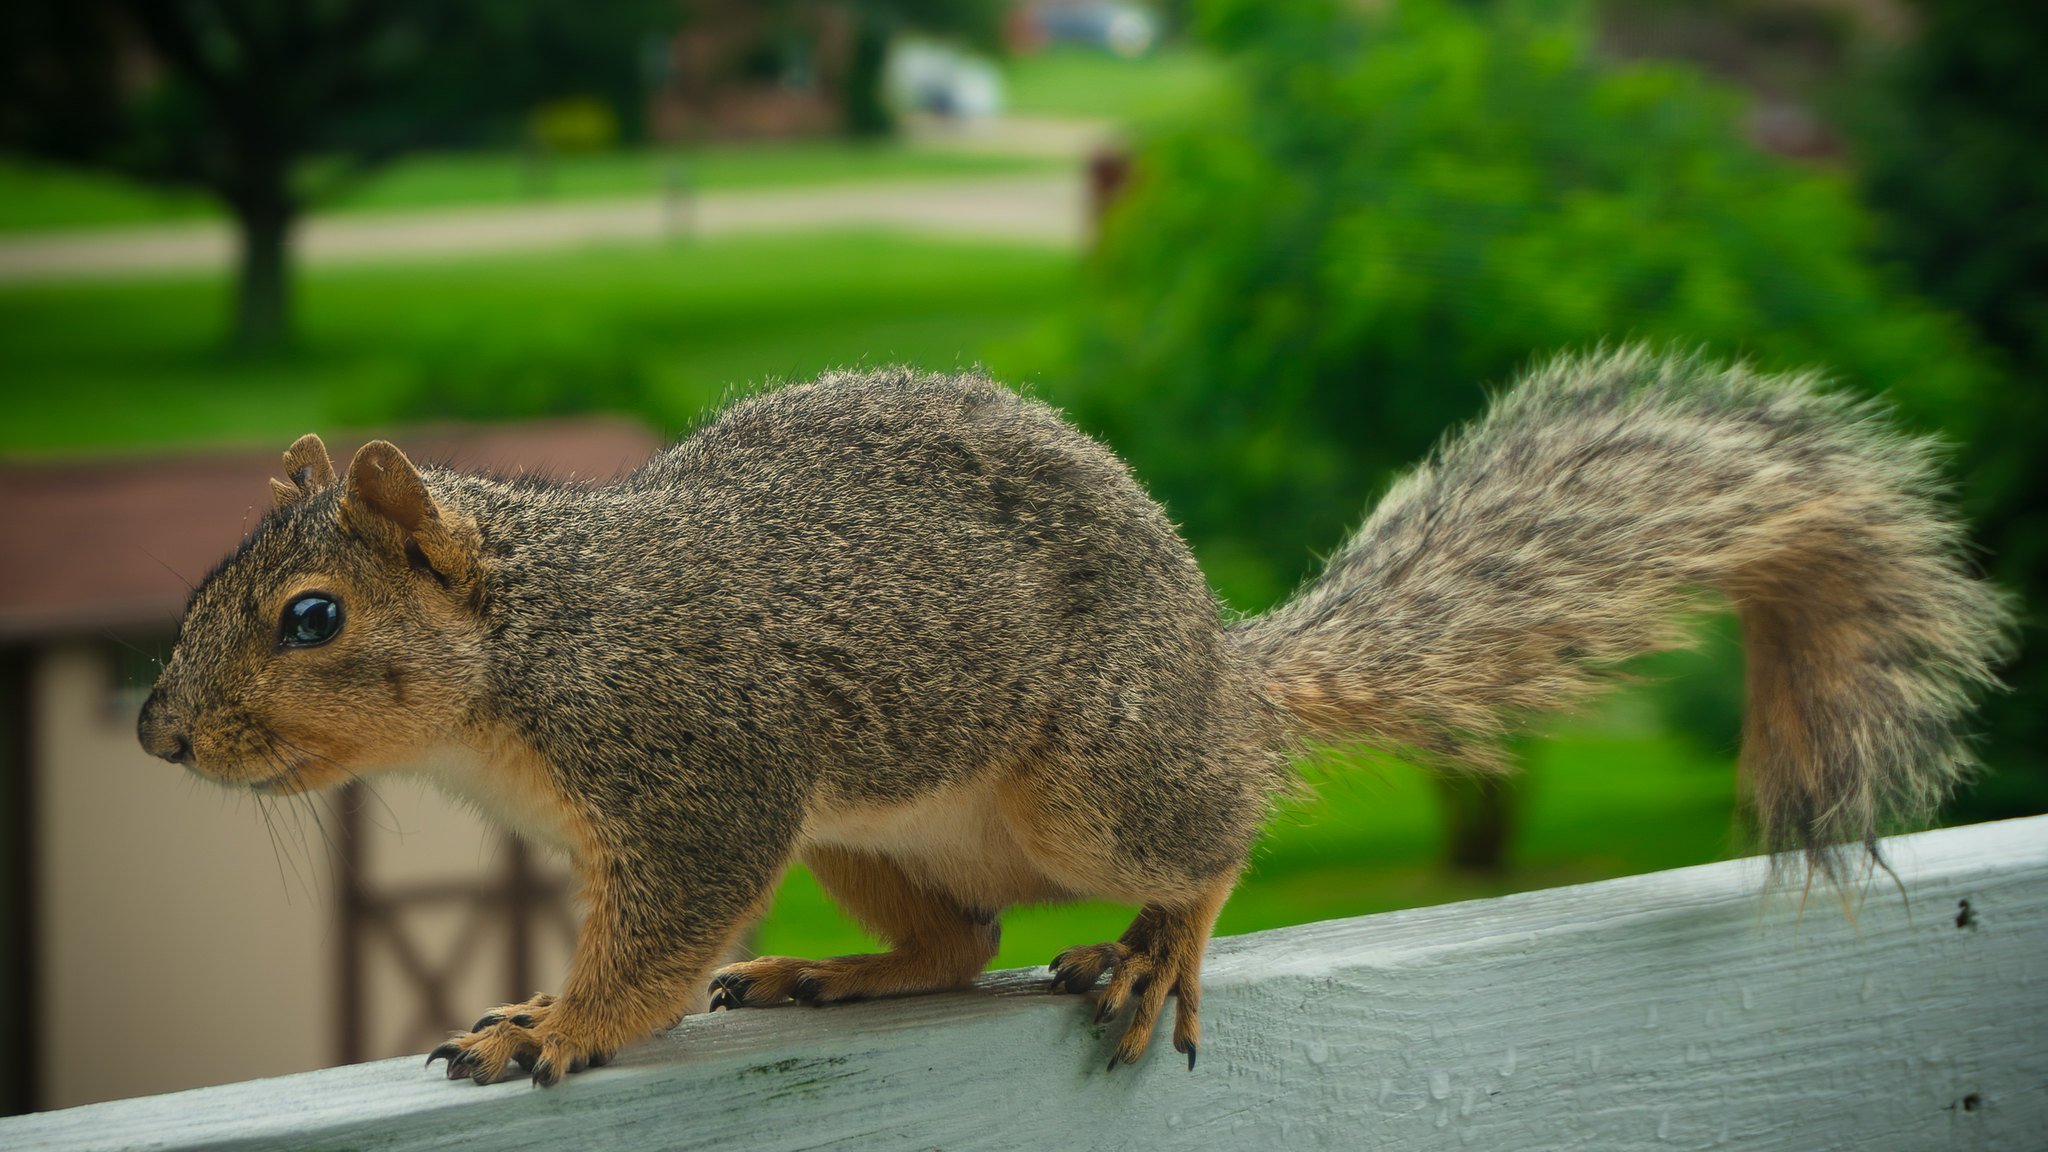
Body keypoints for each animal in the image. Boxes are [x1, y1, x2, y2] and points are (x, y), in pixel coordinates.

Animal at [138, 347, 2012, 1086]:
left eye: (313, 618)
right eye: (218, 573)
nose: (158, 734)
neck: (525, 654)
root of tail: (1218, 667)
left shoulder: (699, 770)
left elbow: (655, 949)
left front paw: (553, 1026)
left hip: (1100, 780)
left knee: (1221, 824)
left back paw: (1164, 936)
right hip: (871, 827)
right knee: (959, 936)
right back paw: (840, 971)